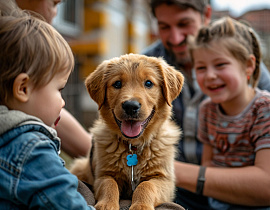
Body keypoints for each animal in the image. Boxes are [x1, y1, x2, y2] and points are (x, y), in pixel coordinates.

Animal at [70, 53, 184, 209]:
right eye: (117, 84)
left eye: (148, 83)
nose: (131, 106)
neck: (133, 146)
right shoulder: (103, 174)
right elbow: (109, 184)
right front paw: (107, 204)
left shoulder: (163, 179)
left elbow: (146, 186)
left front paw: (141, 205)